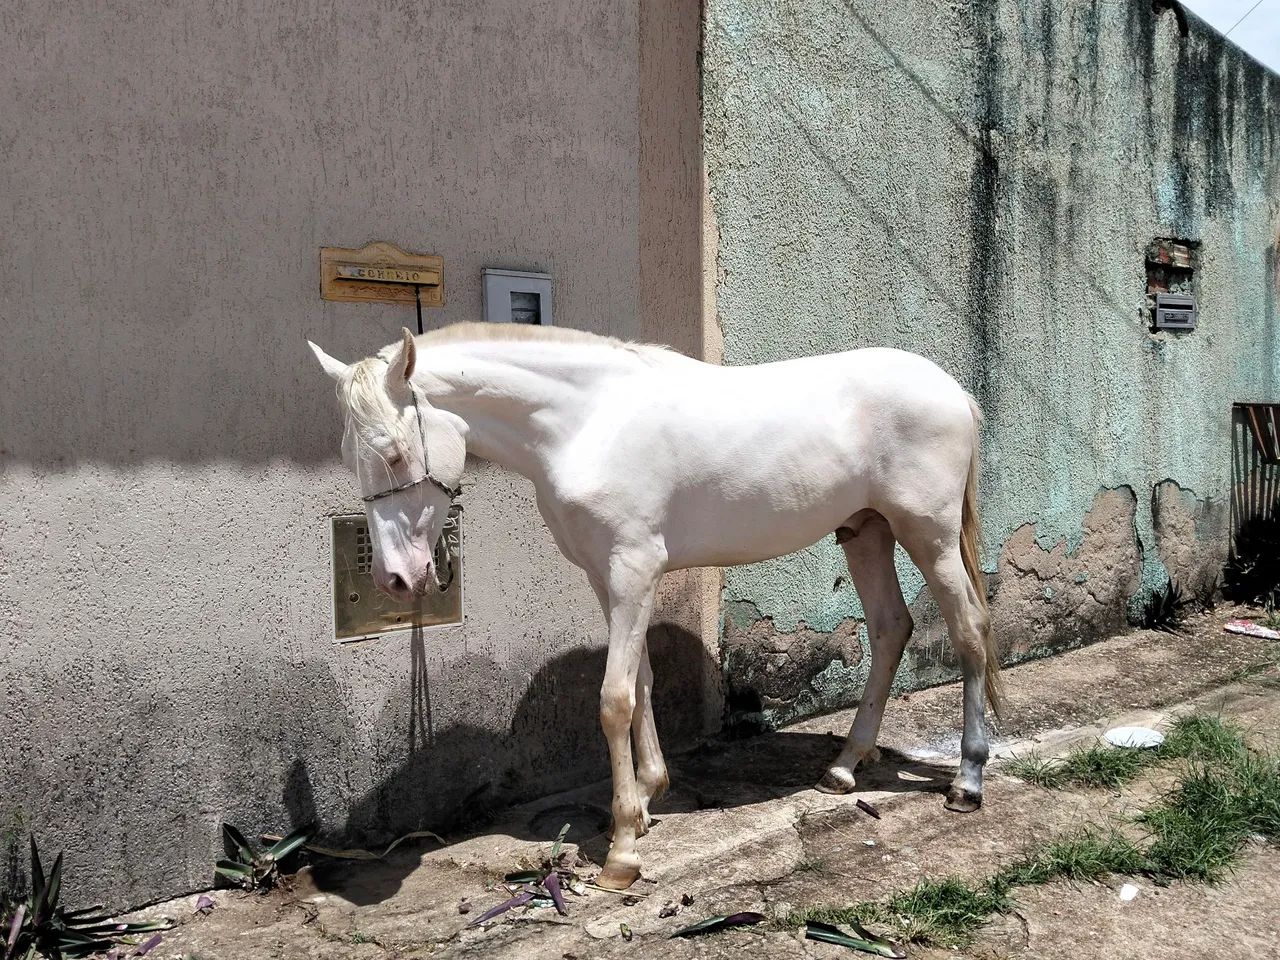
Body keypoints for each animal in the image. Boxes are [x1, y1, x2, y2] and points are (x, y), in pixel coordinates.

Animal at [308, 322, 1001, 889]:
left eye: (395, 452)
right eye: (348, 457)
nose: (396, 580)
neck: (587, 422)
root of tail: (952, 390)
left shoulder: (632, 570)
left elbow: (614, 699)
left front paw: (621, 849)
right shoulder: (608, 578)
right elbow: (639, 679)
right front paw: (647, 799)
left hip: (930, 536)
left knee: (969, 629)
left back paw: (967, 780)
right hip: (866, 533)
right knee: (889, 630)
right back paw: (845, 767)